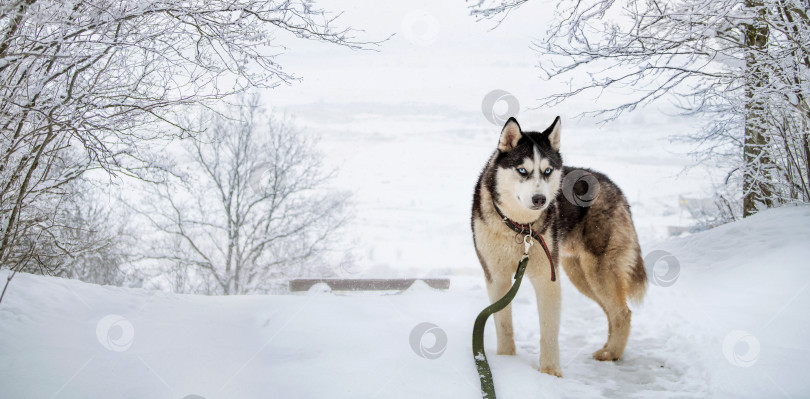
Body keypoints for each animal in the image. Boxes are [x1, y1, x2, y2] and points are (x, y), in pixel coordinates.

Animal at [470, 116, 648, 378]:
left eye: (547, 171)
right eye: (522, 170)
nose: (540, 200)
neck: (519, 227)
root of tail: (612, 185)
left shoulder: (547, 277)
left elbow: (548, 330)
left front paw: (550, 373)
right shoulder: (496, 277)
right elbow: (503, 324)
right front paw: (506, 361)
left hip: (598, 271)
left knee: (622, 313)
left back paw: (611, 354)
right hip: (579, 273)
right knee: (613, 312)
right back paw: (608, 349)